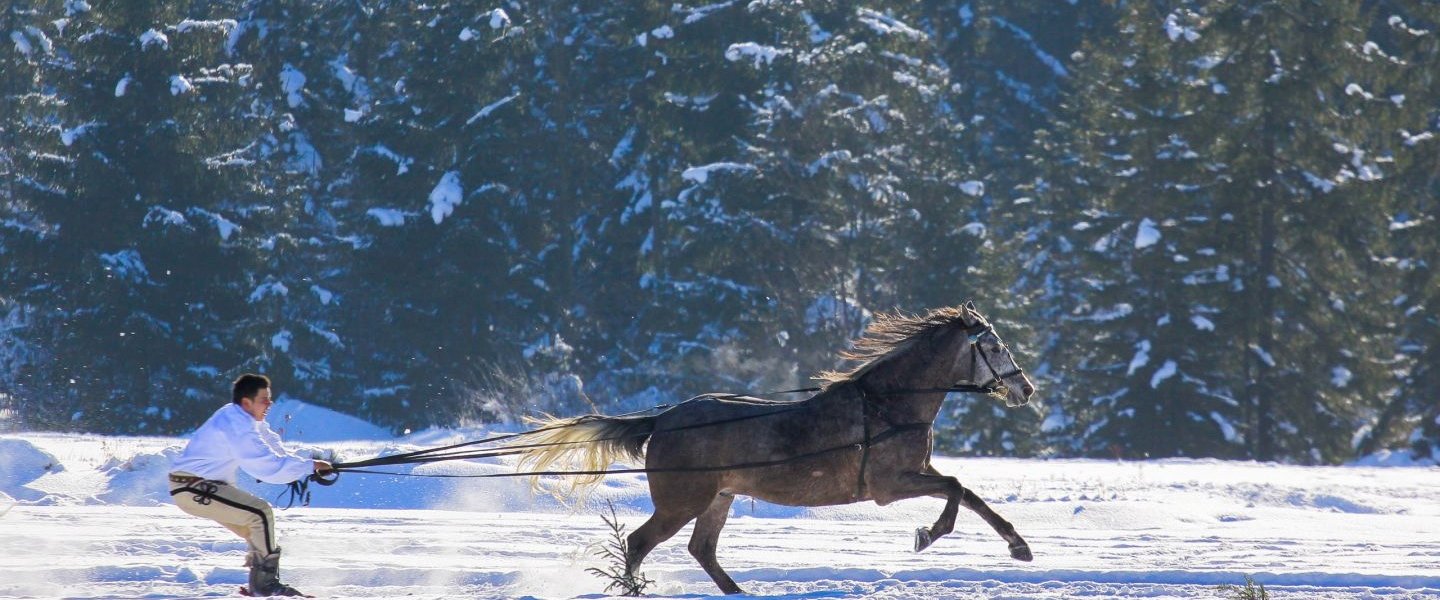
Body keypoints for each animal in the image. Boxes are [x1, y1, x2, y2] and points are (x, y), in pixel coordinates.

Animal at [518, 302, 1036, 592]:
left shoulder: (914, 473)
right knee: (640, 543)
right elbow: (956, 488)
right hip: (682, 501)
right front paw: (928, 534)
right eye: (994, 346)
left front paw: (1019, 545)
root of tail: (662, 419)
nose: (1025, 388)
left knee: (701, 549)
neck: (890, 405)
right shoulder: (889, 485)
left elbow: (969, 493)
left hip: (717, 499)